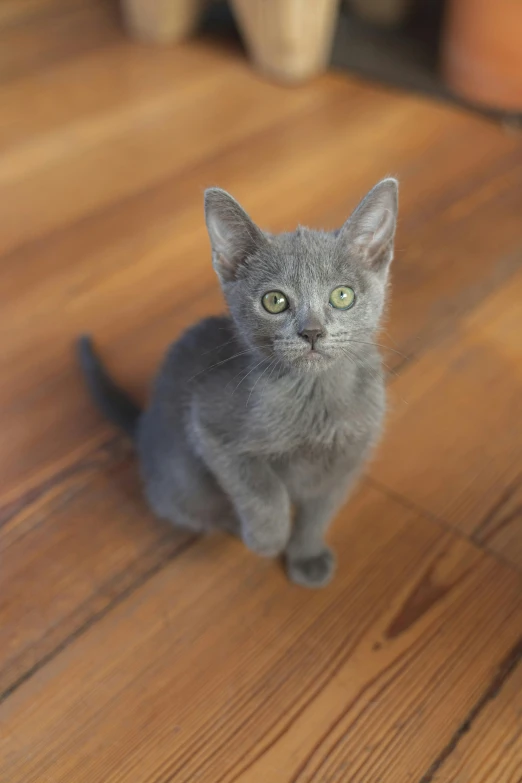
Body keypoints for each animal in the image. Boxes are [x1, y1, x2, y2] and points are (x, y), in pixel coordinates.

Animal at [77, 179, 396, 588]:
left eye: (342, 296)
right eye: (274, 301)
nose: (311, 331)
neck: (313, 397)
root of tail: (144, 425)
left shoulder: (351, 454)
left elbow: (321, 507)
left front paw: (306, 555)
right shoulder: (210, 427)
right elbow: (264, 490)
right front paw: (267, 540)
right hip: (184, 485)